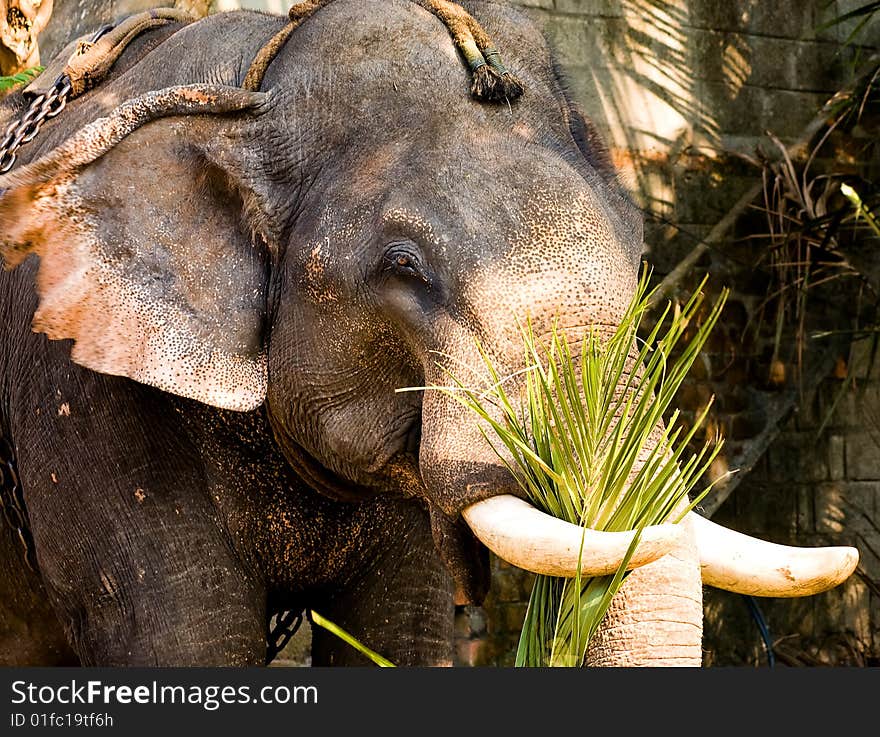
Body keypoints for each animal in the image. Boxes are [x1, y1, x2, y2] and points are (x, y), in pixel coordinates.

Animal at [0, 1, 856, 668]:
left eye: (639, 252)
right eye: (404, 266)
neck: (249, 84)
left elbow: (403, 629)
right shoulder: (80, 399)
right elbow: (185, 636)